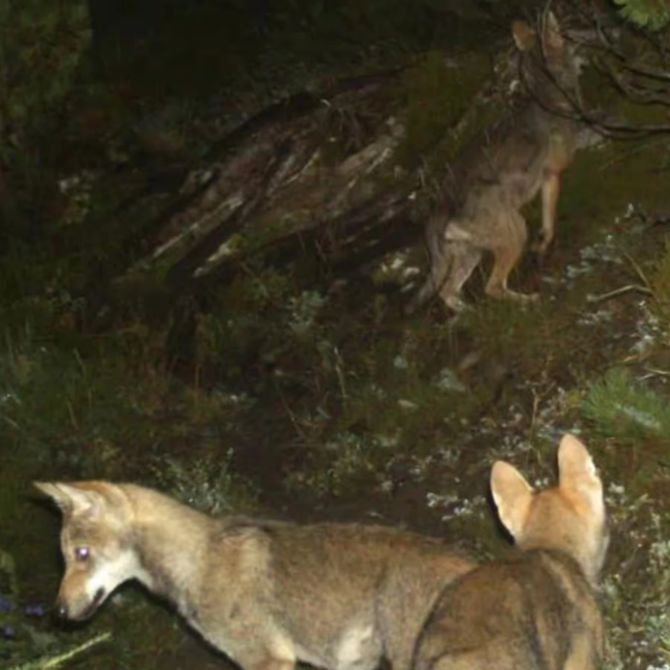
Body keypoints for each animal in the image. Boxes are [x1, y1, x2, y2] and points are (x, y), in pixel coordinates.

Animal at [410, 11, 584, 314]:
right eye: (564, 34)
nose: (579, 43)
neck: (547, 95)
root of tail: (438, 215)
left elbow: (547, 225)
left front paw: (540, 248)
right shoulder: (552, 174)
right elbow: (549, 223)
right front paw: (543, 247)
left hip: (472, 254)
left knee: (448, 292)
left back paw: (468, 313)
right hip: (515, 232)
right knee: (492, 288)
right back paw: (529, 301)